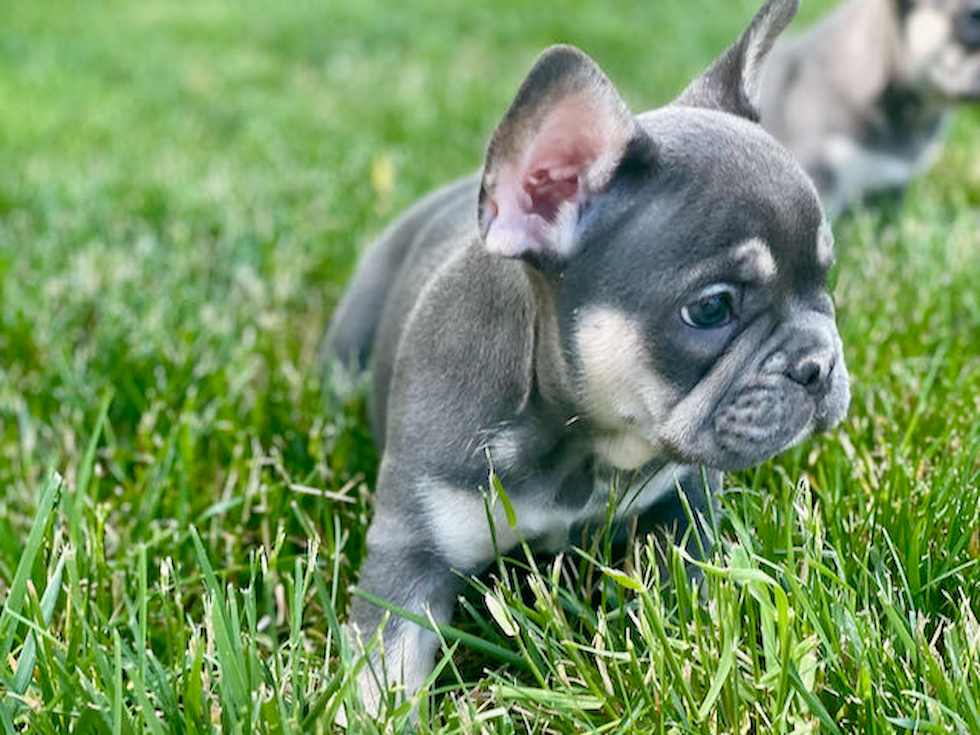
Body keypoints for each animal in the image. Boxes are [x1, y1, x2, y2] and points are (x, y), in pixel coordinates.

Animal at [326, 0, 848, 720]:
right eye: (712, 309)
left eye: (826, 278)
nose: (818, 363)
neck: (578, 440)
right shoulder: (409, 557)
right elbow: (386, 671)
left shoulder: (680, 507)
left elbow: (691, 594)